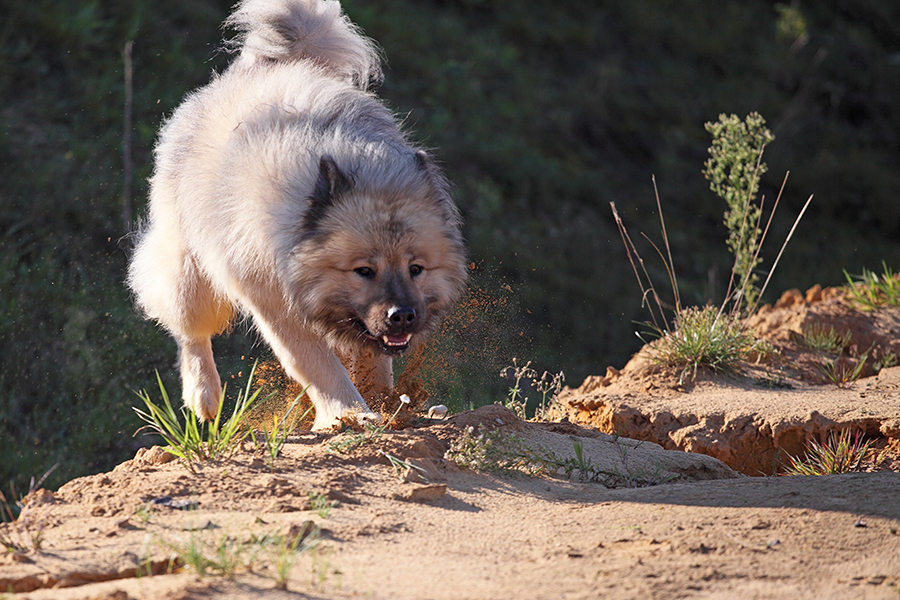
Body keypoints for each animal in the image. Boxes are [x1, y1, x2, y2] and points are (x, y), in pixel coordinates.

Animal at [129, 0, 468, 432]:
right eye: (363, 271)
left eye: (417, 269)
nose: (403, 316)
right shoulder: (277, 304)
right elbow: (318, 364)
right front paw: (348, 413)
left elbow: (373, 356)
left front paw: (383, 401)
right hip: (193, 274)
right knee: (190, 331)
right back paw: (204, 396)